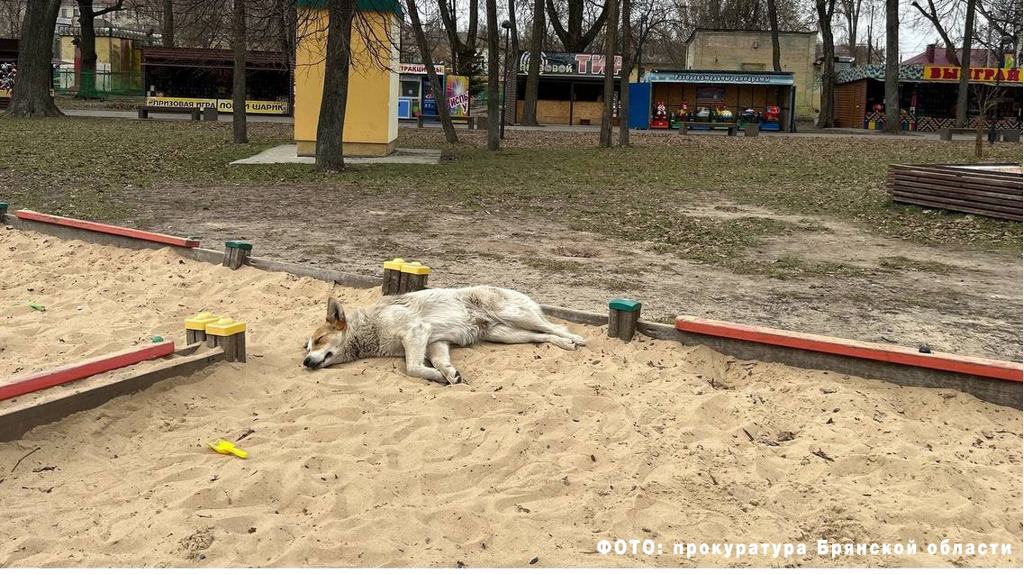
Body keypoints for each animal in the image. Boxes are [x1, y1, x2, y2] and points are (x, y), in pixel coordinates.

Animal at [301, 284, 585, 382]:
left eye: (319, 340)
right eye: (308, 347)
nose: (305, 361)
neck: (369, 328)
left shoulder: (416, 332)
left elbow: (412, 368)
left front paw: (437, 376)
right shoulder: (435, 343)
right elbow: (439, 362)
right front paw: (447, 374)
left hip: (514, 315)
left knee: (554, 326)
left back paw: (576, 339)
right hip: (506, 334)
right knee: (542, 336)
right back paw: (565, 344)